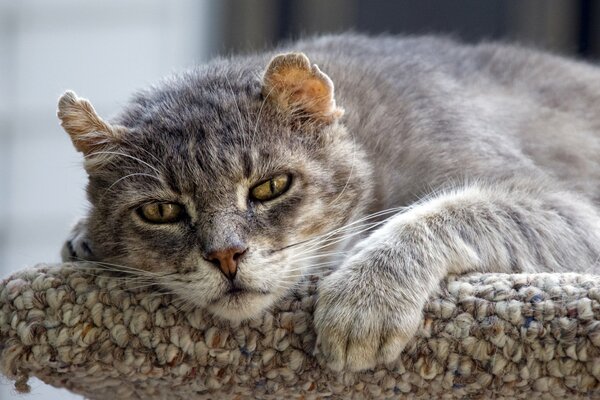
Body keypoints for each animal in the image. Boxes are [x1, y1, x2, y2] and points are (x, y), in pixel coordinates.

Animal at [57, 33, 600, 372]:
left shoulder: (564, 207)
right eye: (160, 211)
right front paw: (80, 237)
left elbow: (444, 211)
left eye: (270, 186)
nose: (225, 256)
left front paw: (364, 298)